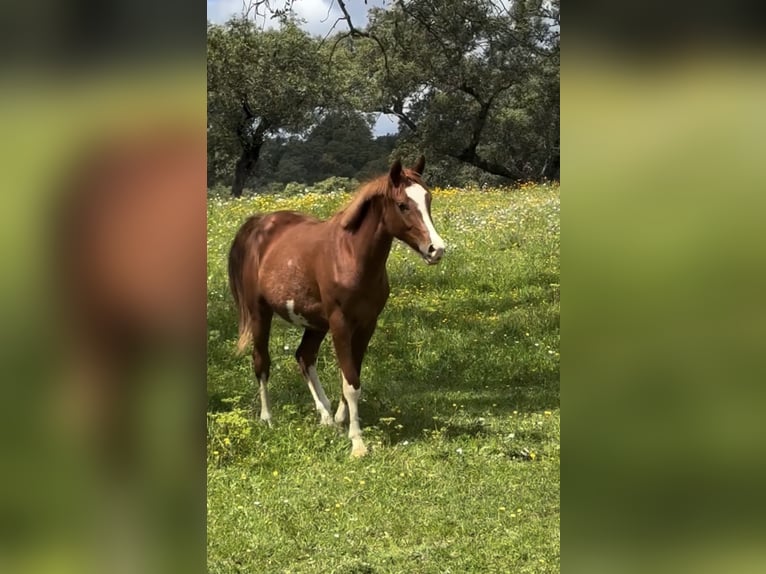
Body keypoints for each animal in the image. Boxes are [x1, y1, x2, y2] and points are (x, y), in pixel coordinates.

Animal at [227, 156, 445, 457]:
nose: (436, 249)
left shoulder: (366, 324)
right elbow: (351, 381)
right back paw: (267, 419)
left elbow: (352, 375)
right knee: (261, 362)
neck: (351, 255)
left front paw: (342, 420)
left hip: (315, 322)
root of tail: (258, 224)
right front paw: (358, 443)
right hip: (261, 313)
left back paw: (326, 417)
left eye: (428, 199)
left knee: (304, 357)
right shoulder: (340, 323)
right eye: (403, 205)